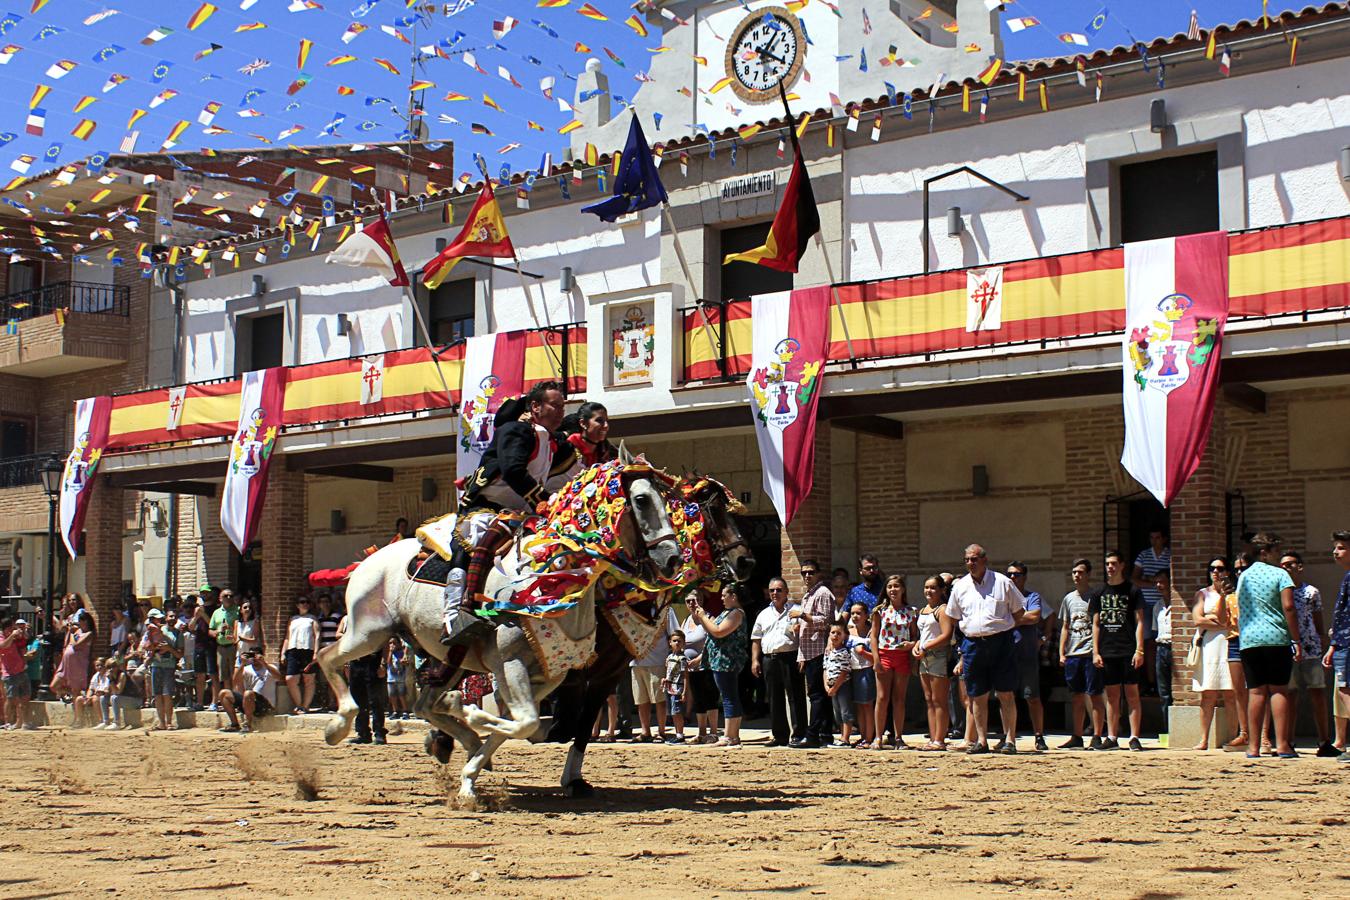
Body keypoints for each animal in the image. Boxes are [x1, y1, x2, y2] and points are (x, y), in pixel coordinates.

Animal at [310, 458, 680, 809]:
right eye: (642, 500)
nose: (673, 558)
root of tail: (369, 559)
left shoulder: (555, 674)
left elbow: (526, 724)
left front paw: (470, 774)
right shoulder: (512, 662)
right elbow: (529, 723)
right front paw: (471, 722)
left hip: (446, 656)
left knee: (424, 703)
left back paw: (460, 732)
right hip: (369, 631)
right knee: (326, 657)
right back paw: (337, 727)